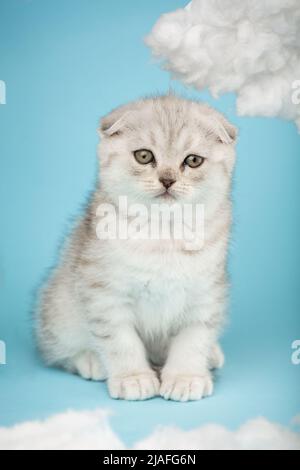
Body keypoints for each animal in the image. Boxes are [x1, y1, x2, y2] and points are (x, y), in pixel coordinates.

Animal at [35, 94, 237, 400]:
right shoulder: (104, 293)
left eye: (193, 160)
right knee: (59, 348)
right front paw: (134, 378)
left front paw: (186, 376)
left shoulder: (205, 293)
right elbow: (120, 340)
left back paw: (211, 355)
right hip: (59, 304)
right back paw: (91, 360)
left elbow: (194, 338)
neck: (163, 235)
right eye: (144, 156)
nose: (167, 179)